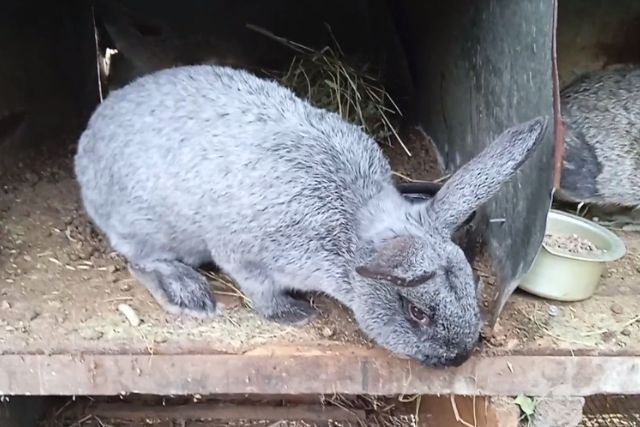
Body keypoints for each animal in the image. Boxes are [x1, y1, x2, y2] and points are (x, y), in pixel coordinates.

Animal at [74, 64, 544, 368]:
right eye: (417, 313)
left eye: (472, 280)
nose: (460, 356)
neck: (351, 233)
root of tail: (88, 142)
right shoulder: (245, 255)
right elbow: (261, 292)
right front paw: (294, 314)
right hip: (148, 229)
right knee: (141, 262)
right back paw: (189, 294)